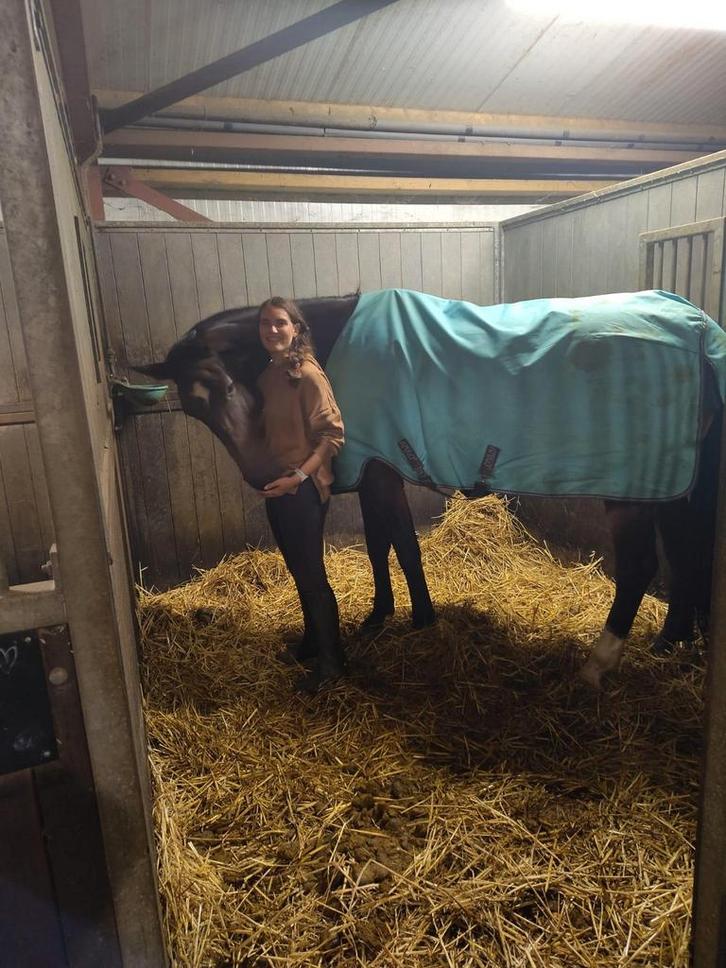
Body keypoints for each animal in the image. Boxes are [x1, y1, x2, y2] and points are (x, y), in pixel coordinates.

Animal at [135, 289, 724, 689]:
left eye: (228, 384)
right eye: (193, 408)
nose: (267, 478)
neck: (330, 344)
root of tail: (696, 325)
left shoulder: (378, 469)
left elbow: (397, 543)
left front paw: (410, 616)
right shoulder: (377, 469)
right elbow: (384, 545)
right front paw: (387, 614)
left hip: (632, 493)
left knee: (642, 567)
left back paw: (597, 664)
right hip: (669, 485)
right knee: (687, 554)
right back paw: (668, 641)